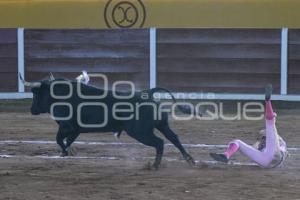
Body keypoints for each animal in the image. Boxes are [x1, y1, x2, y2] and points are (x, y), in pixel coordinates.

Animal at [27, 78, 195, 169]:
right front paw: (66, 152)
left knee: (159, 142)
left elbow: (58, 139)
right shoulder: (75, 130)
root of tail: (147, 93)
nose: (32, 109)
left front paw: (65, 152)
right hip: (161, 125)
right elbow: (67, 141)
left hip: (140, 132)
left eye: (36, 95)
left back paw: (154, 166)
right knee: (173, 138)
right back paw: (190, 161)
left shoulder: (66, 126)